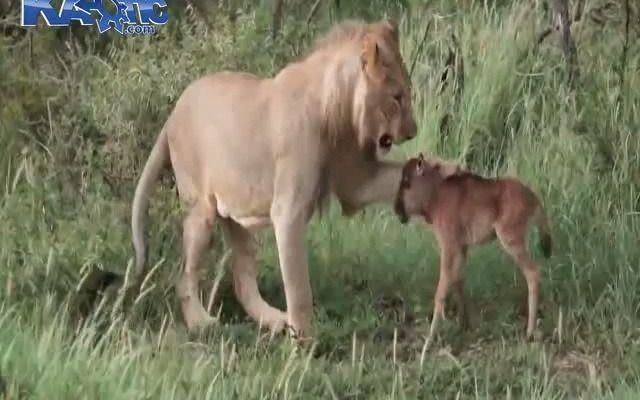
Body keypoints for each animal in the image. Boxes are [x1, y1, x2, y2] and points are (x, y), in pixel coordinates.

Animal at [119, 18, 422, 338]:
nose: (413, 132)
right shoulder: (288, 210)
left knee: (242, 280)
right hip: (200, 209)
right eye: (397, 97)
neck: (339, 111)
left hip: (237, 216)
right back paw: (202, 324)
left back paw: (274, 320)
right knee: (184, 274)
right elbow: (298, 285)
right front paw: (305, 339)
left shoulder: (355, 180)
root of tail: (172, 114)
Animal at [392, 155, 552, 348]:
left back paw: (530, 332)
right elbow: (457, 280)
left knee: (533, 272)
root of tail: (531, 196)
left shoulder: (448, 246)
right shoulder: (462, 248)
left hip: (511, 240)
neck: (437, 193)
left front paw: (430, 338)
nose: (397, 209)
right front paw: (464, 325)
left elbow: (441, 289)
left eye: (406, 183)